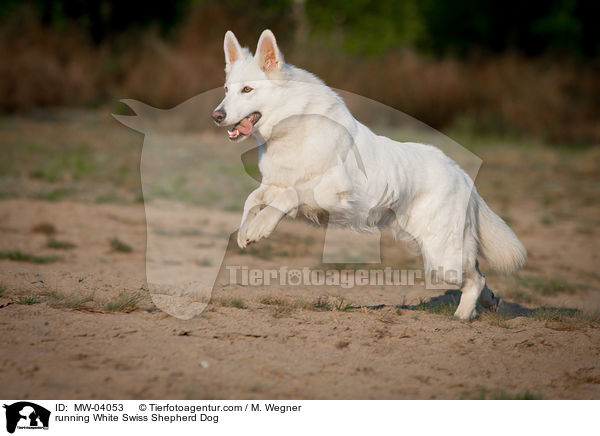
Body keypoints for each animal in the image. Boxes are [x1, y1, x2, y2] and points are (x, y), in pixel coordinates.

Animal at [211, 28, 524, 320]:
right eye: (226, 89)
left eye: (247, 90)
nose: (216, 116)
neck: (291, 127)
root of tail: (460, 172)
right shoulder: (274, 183)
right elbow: (253, 199)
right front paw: (245, 229)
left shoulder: (333, 193)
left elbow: (289, 196)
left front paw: (260, 227)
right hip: (444, 253)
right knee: (478, 271)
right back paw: (489, 301)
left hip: (442, 257)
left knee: (475, 278)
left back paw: (463, 315)